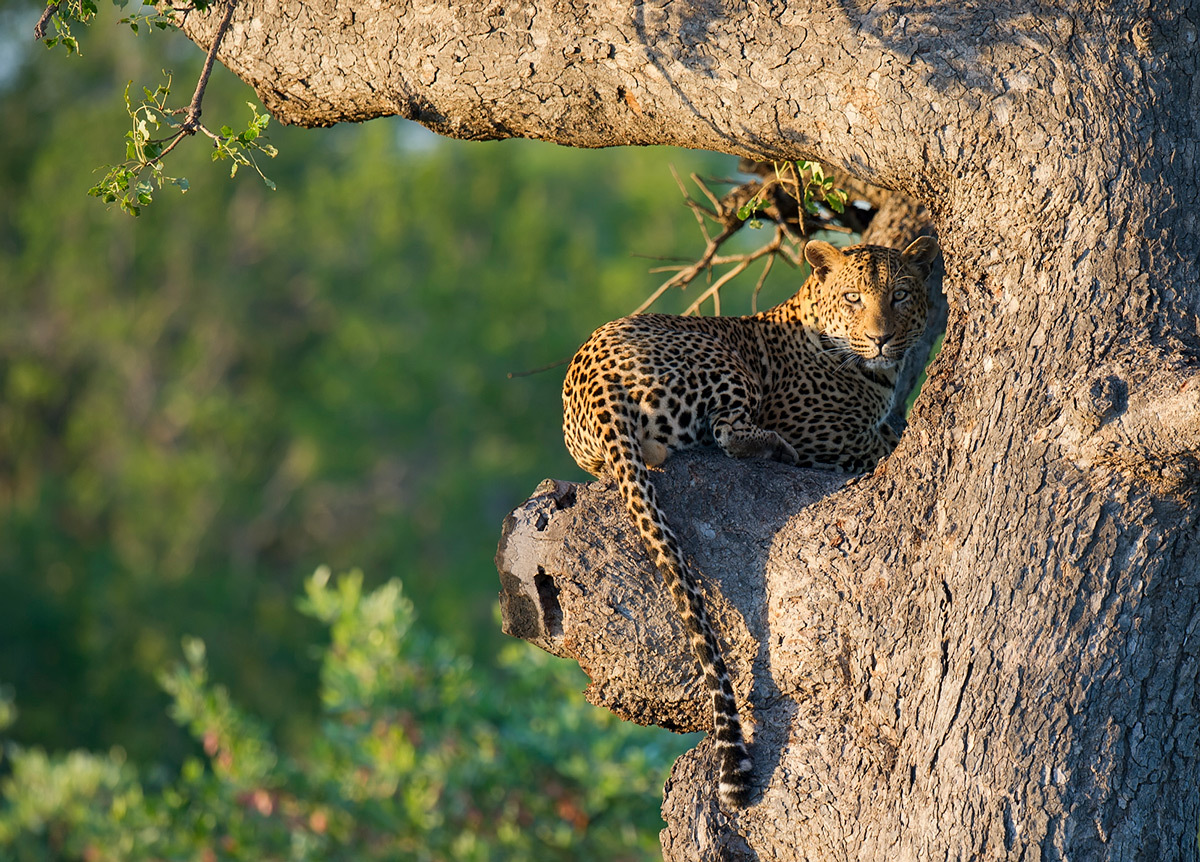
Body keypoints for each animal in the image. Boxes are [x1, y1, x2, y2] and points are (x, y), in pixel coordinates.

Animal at [559, 237, 936, 811]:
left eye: (900, 295)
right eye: (853, 297)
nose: (881, 337)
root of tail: (594, 376)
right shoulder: (830, 436)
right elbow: (888, 439)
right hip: (724, 365)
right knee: (729, 434)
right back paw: (771, 447)